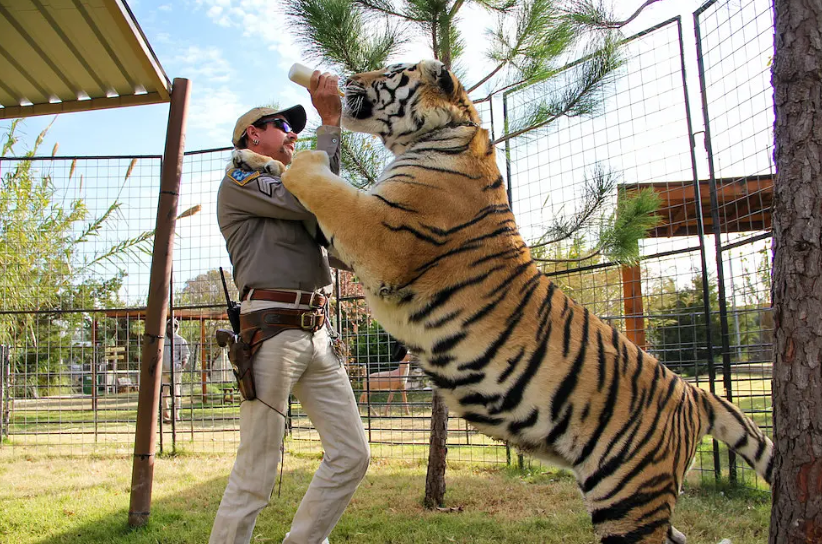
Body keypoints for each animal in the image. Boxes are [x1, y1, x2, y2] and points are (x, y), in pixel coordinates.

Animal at [234, 59, 773, 544]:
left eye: (388, 70)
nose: (345, 78)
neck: (437, 135)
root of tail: (693, 393)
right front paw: (254, 160)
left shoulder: (377, 234)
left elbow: (321, 183)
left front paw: (297, 157)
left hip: (628, 496)